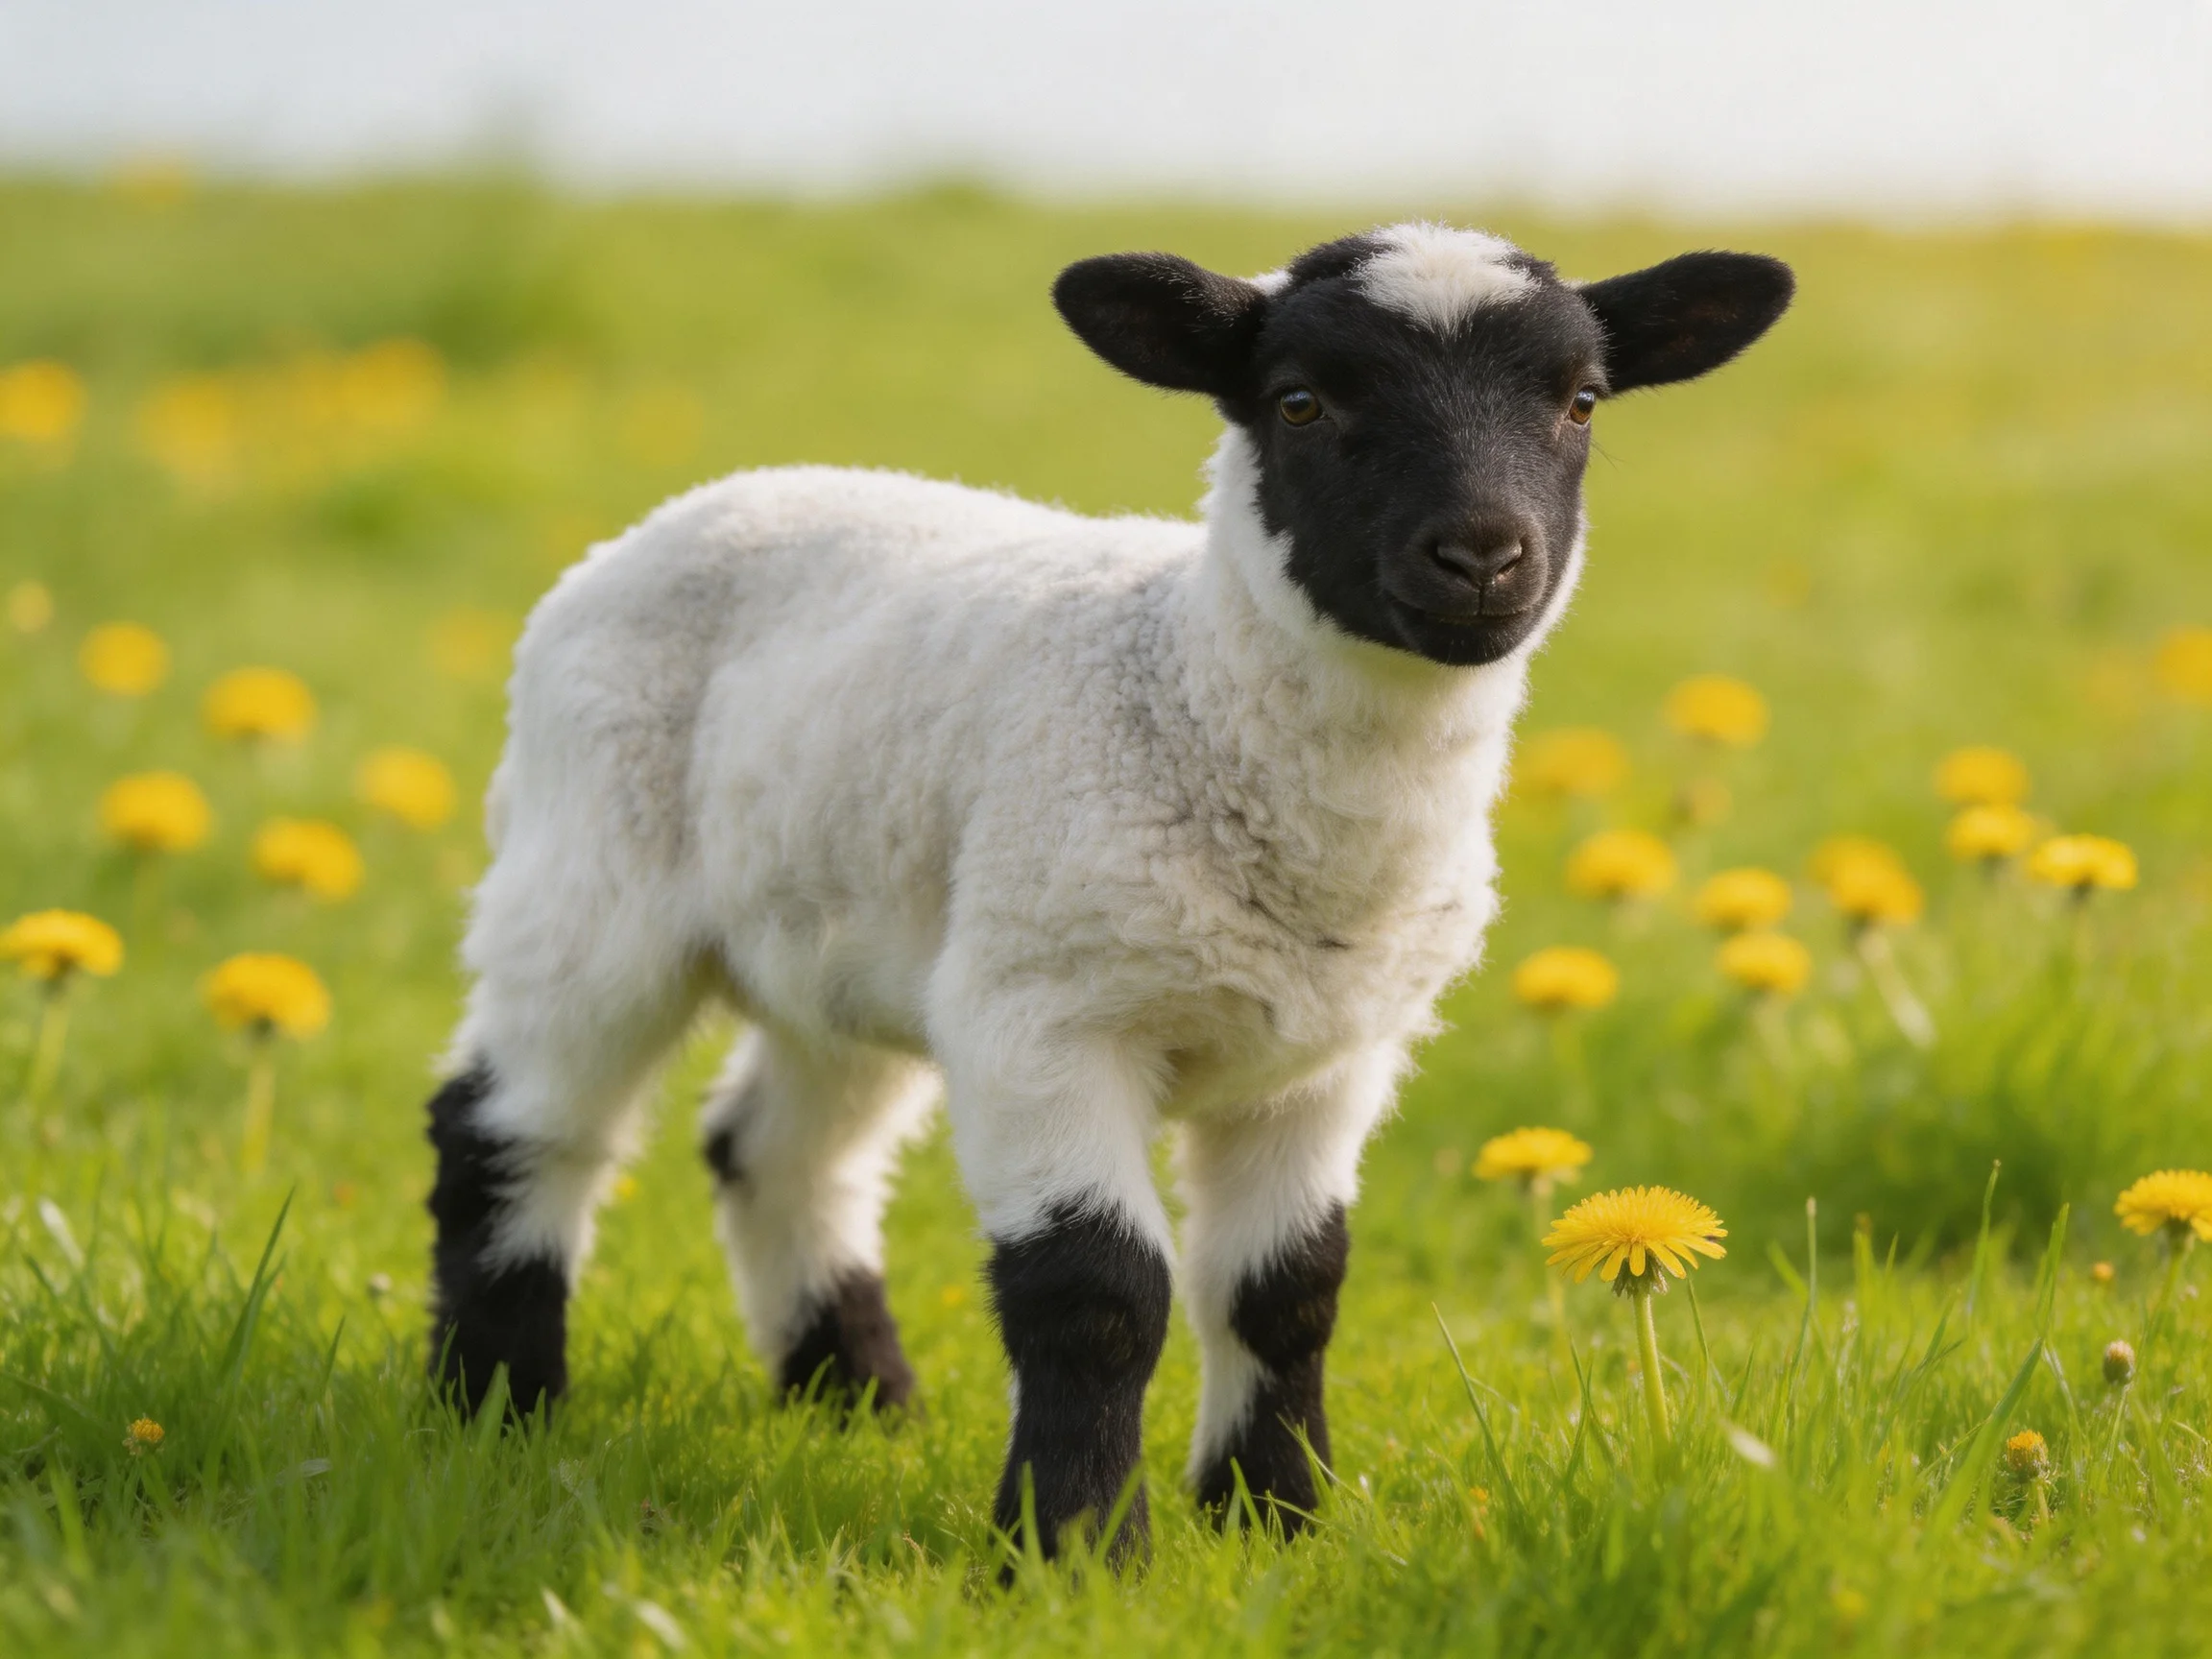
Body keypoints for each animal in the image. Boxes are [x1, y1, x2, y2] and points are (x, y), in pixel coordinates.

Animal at [423, 222, 1794, 1562]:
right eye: (1299, 402)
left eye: (1579, 401)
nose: (1483, 556)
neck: (1184, 683)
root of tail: (705, 501)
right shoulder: (1048, 1018)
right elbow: (1096, 1290)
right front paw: (1074, 1546)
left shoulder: (1327, 1059)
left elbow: (1288, 1287)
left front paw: (1276, 1519)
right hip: (592, 869)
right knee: (514, 1126)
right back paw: (492, 1408)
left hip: (858, 934)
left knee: (779, 1148)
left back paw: (857, 1402)